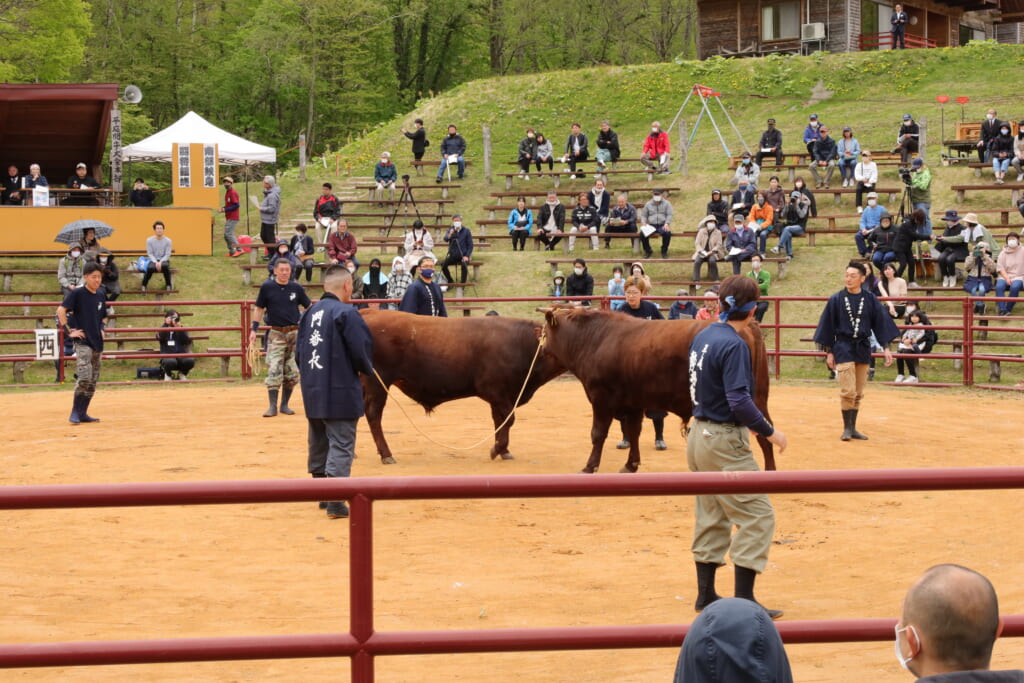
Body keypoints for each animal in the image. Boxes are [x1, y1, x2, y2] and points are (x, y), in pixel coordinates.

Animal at [360, 311, 569, 464]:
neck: (521, 343)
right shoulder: (495, 391)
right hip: (377, 383)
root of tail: (369, 313)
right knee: (373, 414)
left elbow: (500, 421)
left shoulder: (501, 397)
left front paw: (503, 449)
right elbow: (508, 420)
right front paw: (497, 449)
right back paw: (386, 454)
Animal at [540, 309, 770, 475]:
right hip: (759, 398)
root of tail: (747, 325)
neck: (596, 339)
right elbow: (633, 432)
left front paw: (590, 466)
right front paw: (631, 464)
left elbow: (598, 433)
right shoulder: (633, 403)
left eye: (545, 334)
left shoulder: (601, 400)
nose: (541, 349)